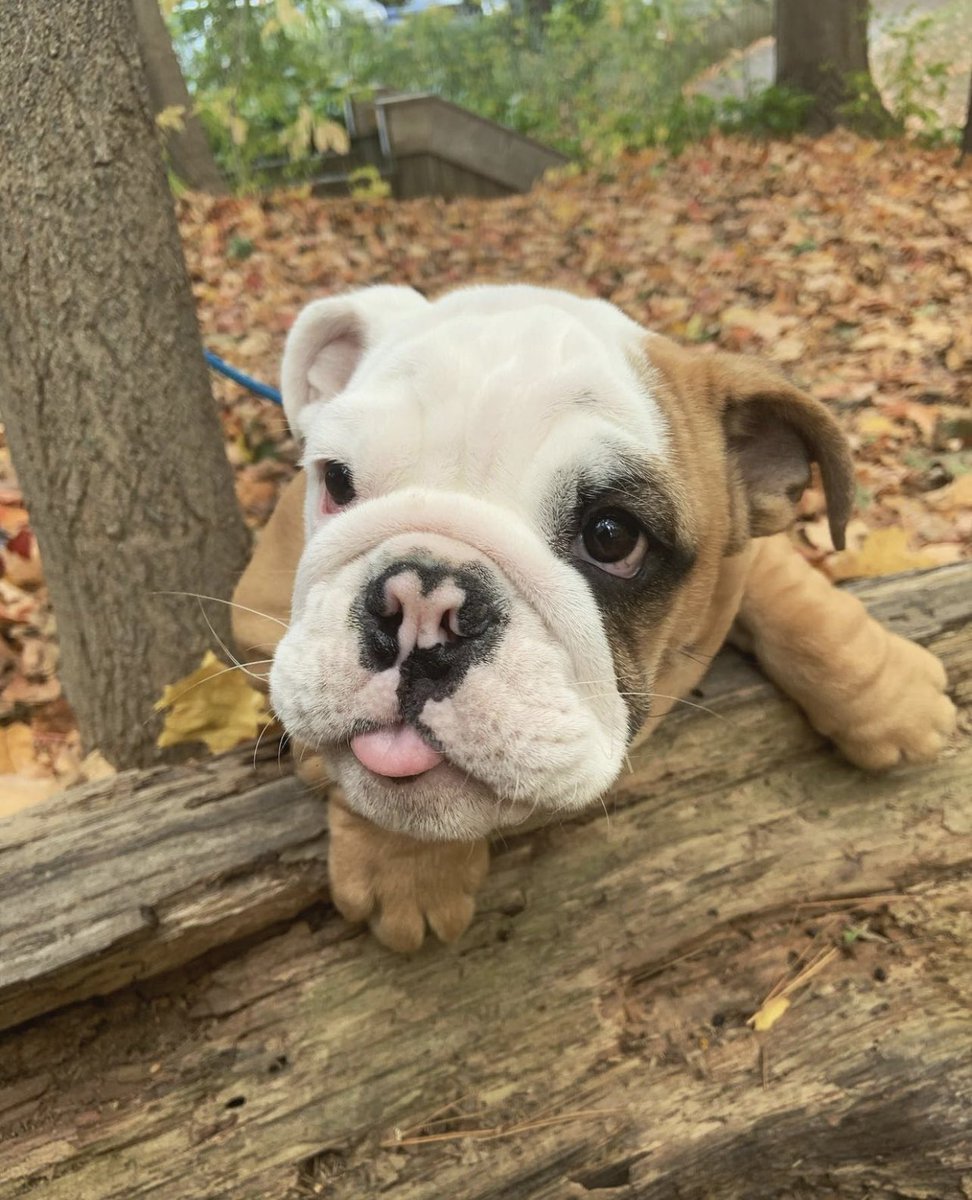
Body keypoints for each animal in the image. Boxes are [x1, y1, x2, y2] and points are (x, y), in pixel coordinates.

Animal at [232, 285, 955, 950]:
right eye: (337, 481)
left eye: (612, 536)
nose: (422, 604)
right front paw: (405, 864)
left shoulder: (748, 550)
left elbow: (797, 596)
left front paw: (892, 701)